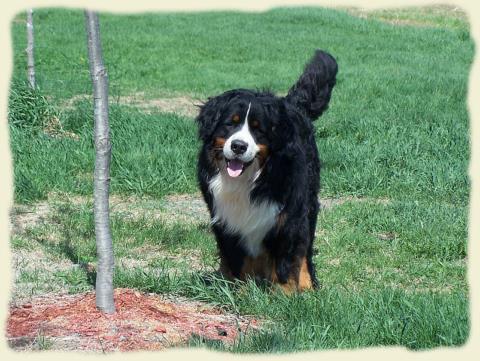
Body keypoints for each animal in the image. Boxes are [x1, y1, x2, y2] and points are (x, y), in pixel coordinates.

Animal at [194, 50, 338, 292]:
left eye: (258, 129)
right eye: (230, 124)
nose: (239, 146)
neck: (250, 179)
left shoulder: (288, 217)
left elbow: (287, 260)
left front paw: (284, 293)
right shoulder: (227, 219)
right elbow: (237, 260)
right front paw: (240, 291)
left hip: (309, 201)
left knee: (305, 249)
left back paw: (307, 284)